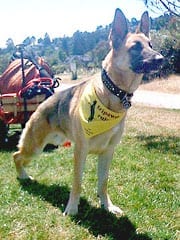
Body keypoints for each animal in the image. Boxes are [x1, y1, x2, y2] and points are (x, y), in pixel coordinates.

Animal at [13, 8, 164, 216]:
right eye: (135, 47)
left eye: (150, 44)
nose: (161, 59)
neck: (112, 92)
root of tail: (45, 100)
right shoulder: (80, 151)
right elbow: (77, 182)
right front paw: (72, 208)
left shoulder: (108, 152)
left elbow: (103, 182)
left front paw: (107, 205)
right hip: (34, 148)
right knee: (16, 156)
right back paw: (23, 176)